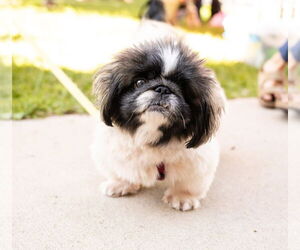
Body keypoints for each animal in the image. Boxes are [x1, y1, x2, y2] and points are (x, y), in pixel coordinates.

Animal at [91, 5, 225, 211]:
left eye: (184, 91)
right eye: (139, 82)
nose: (163, 88)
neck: (151, 135)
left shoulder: (199, 162)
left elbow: (189, 184)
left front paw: (182, 197)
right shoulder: (109, 151)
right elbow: (118, 171)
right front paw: (120, 184)